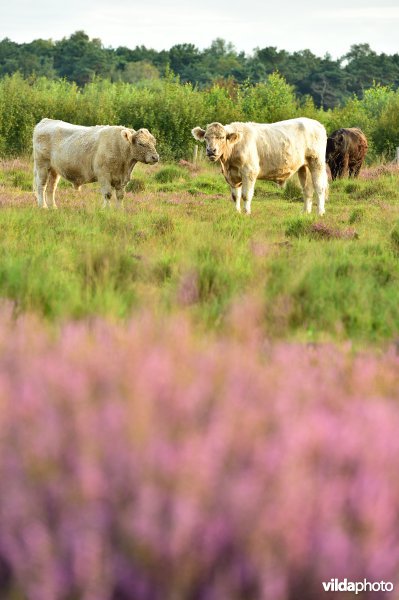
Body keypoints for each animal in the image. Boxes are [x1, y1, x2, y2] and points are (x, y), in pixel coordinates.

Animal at [32, 119, 160, 209]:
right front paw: (106, 209)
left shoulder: (122, 179)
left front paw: (119, 211)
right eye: (141, 143)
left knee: (51, 188)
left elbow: (120, 195)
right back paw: (43, 206)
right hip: (42, 165)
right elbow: (108, 194)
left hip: (54, 170)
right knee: (41, 186)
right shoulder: (103, 175)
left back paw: (53, 207)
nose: (155, 157)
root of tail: (46, 121)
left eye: (154, 142)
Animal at [193, 117, 328, 216]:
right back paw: (305, 212)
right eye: (206, 137)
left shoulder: (249, 171)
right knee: (307, 189)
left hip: (317, 162)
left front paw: (247, 213)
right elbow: (235, 196)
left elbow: (246, 195)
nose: (211, 150)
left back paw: (320, 212)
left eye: (221, 137)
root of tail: (316, 123)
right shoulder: (232, 176)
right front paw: (237, 212)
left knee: (319, 187)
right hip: (304, 167)